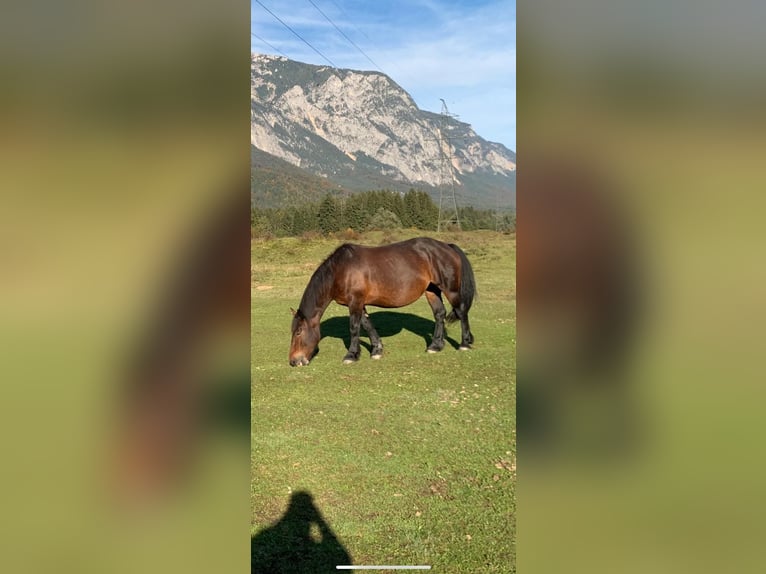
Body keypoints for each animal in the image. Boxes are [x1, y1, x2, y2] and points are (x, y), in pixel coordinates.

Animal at [290, 236, 476, 366]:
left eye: (298, 332)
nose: (293, 361)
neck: (340, 270)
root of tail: (447, 246)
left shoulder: (355, 302)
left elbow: (354, 328)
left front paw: (351, 355)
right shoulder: (360, 304)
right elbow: (367, 325)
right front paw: (377, 350)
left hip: (450, 290)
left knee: (461, 312)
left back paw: (464, 343)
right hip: (432, 290)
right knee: (439, 314)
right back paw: (435, 346)